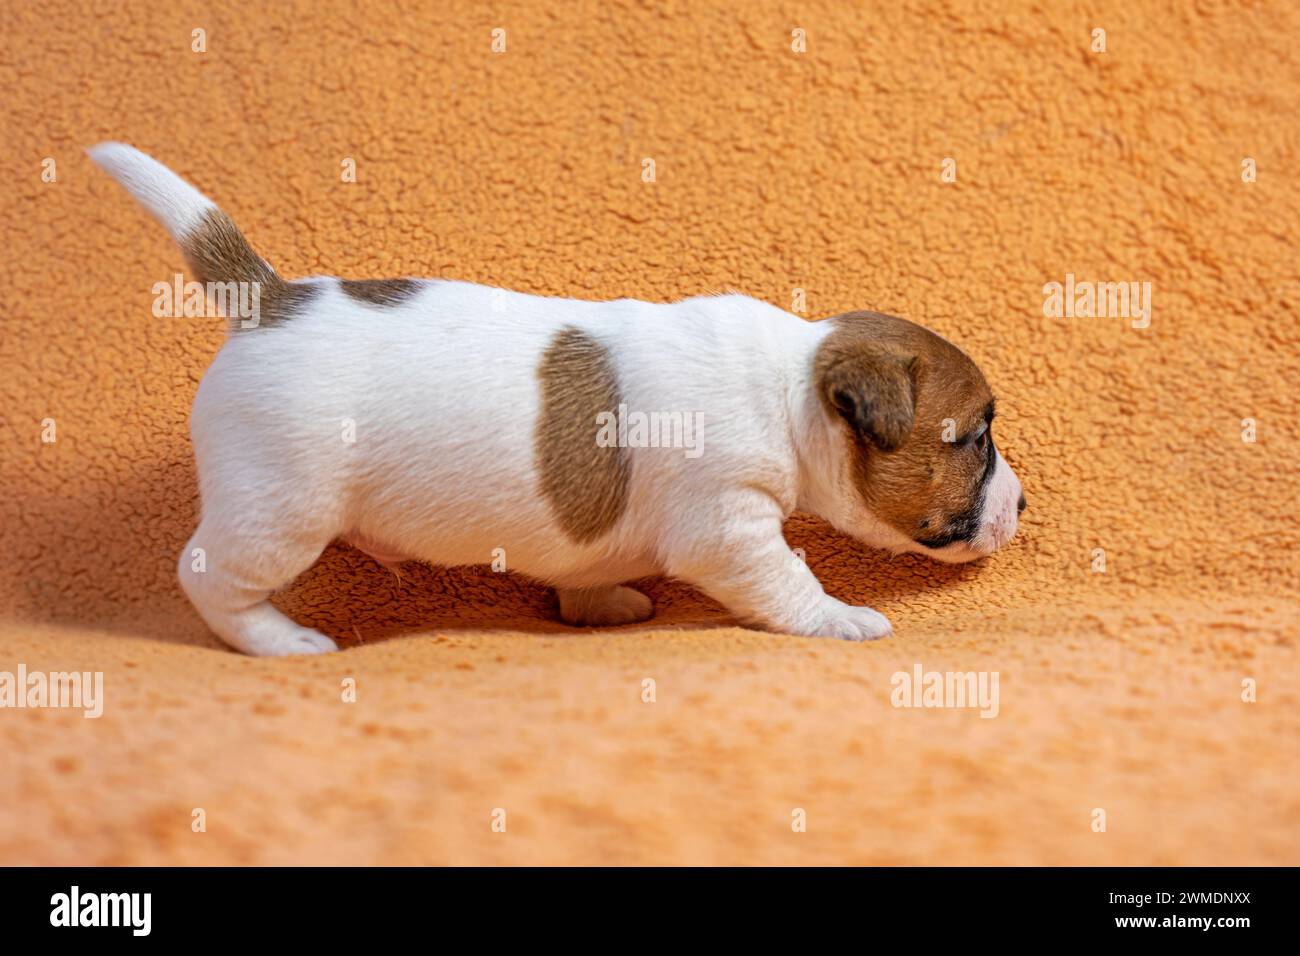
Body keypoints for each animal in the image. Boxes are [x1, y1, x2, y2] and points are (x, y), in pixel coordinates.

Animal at [91, 141, 1024, 658]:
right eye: (975, 437)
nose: (1023, 504)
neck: (790, 382)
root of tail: (268, 298)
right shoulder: (730, 527)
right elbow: (787, 581)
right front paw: (839, 617)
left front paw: (601, 603)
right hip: (280, 509)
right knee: (209, 575)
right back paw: (279, 640)